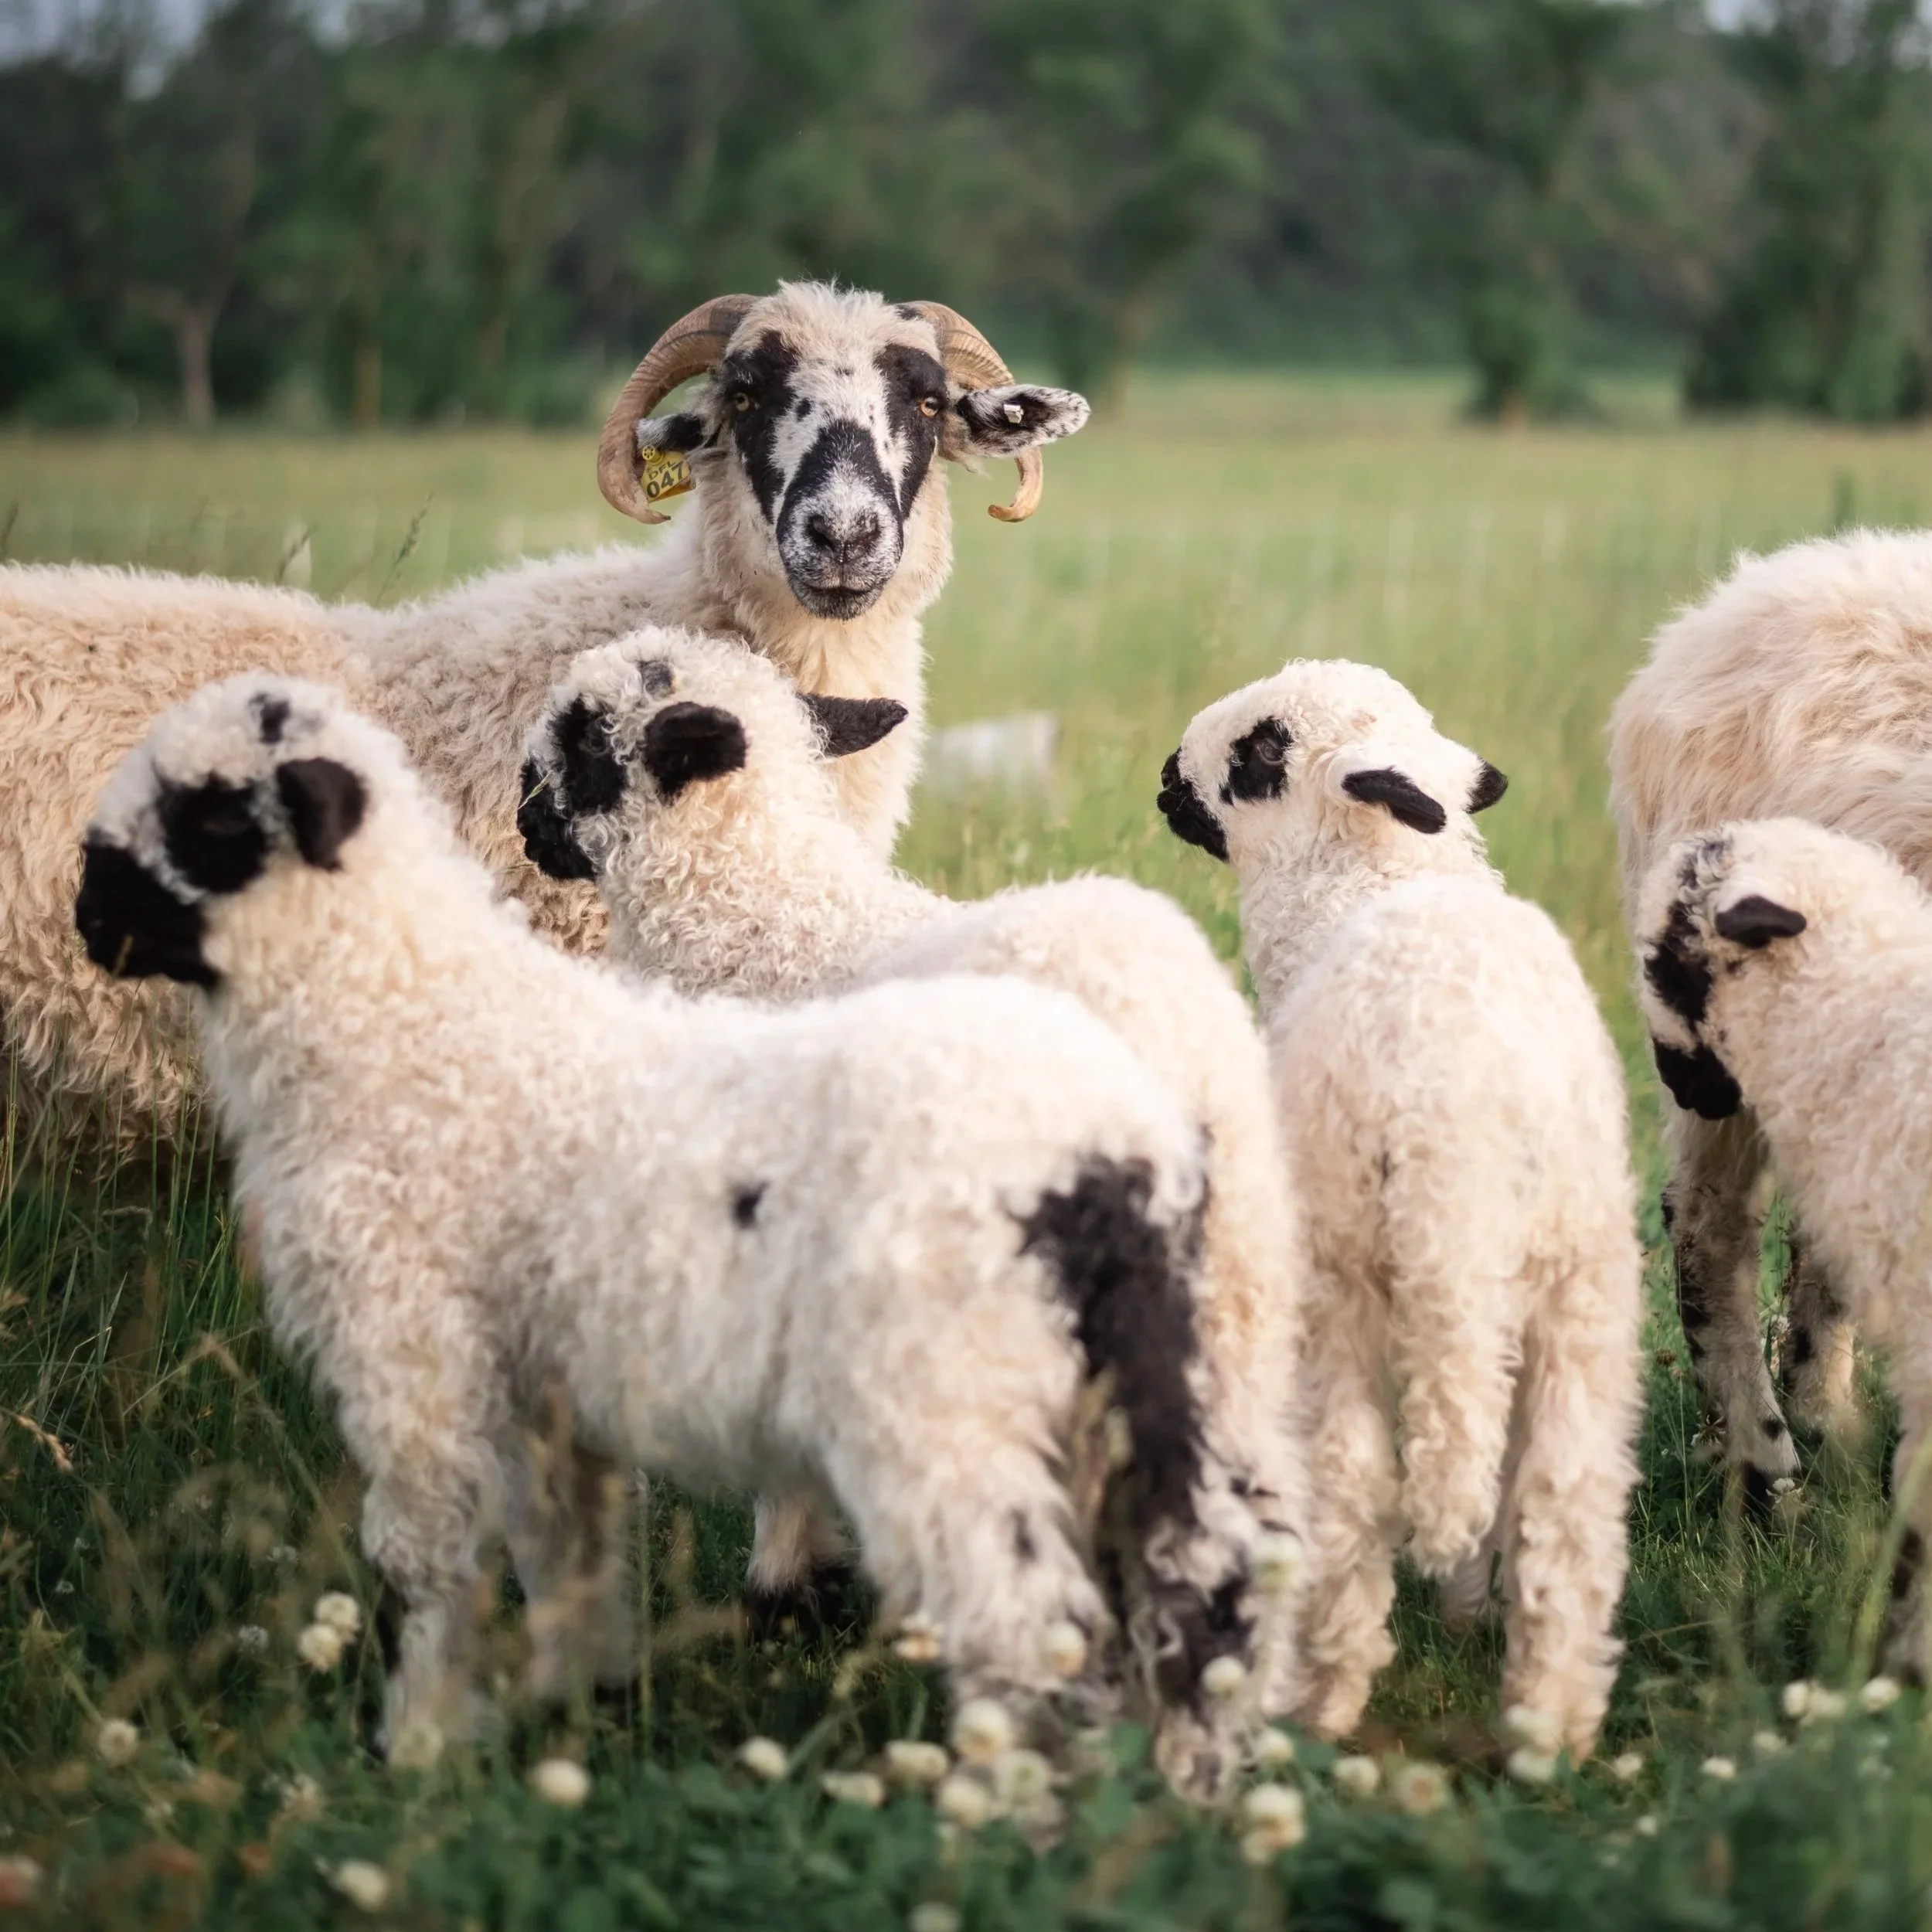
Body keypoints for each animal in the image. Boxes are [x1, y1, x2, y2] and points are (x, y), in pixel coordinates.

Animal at [1159, 658, 1643, 1759]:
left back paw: (1323, 1702)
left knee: (1356, 1486)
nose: (1166, 773)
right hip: (1581, 1285)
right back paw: (1547, 1728)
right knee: (1563, 1499)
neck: (1377, 884)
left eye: (1262, 748)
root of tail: (1455, 1124)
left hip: (1348, 1280)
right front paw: (1473, 1603)